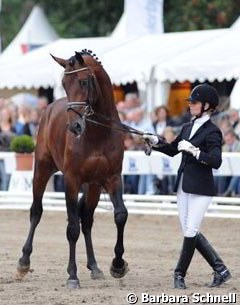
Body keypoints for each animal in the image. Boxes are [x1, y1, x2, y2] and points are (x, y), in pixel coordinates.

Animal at [17, 50, 128, 288]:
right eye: (63, 84)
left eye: (84, 81)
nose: (75, 127)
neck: (97, 133)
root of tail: (49, 108)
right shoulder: (71, 180)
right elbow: (71, 228)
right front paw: (72, 275)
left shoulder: (112, 178)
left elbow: (120, 215)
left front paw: (117, 265)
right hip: (41, 171)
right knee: (36, 212)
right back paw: (23, 262)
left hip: (93, 187)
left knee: (86, 220)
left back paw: (94, 267)